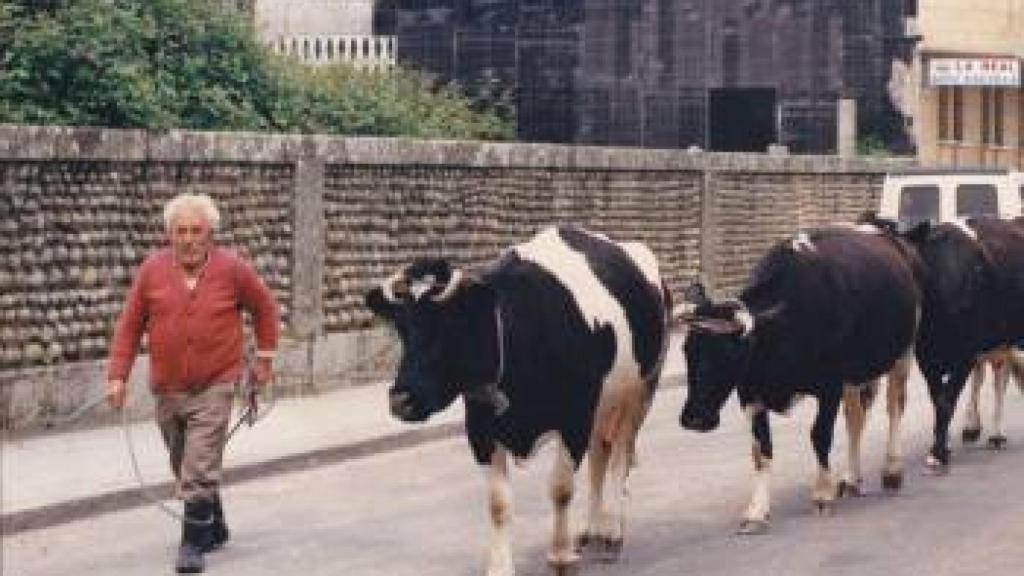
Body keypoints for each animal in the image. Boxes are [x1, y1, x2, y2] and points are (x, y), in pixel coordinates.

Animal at [364, 224, 667, 573]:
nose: (400, 400)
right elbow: (498, 503)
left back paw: (612, 532)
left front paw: (560, 555)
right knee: (599, 457)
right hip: (603, 404)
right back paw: (591, 528)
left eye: (451, 327)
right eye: (403, 329)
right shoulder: (480, 429)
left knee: (619, 456)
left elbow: (561, 489)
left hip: (641, 392)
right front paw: (499, 566)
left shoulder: (574, 418)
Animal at [675, 223, 925, 528]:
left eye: (727, 353)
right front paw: (757, 510)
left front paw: (822, 494)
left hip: (903, 354)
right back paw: (851, 478)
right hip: (855, 376)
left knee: (895, 407)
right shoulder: (751, 395)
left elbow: (820, 436)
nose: (694, 419)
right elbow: (762, 450)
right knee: (856, 420)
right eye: (687, 350)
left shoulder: (829, 388)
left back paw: (891, 470)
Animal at [901, 215, 1024, 467]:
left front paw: (938, 453)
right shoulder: (926, 357)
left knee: (1000, 378)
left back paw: (996, 434)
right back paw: (973, 428)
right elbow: (938, 399)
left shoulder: (964, 354)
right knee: (988, 375)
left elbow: (947, 400)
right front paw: (943, 444)